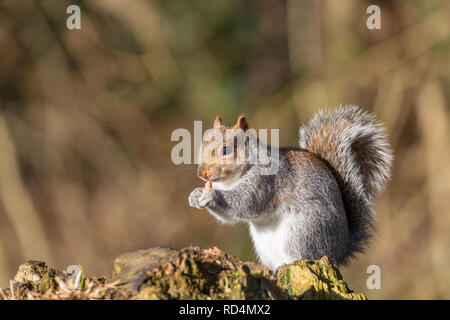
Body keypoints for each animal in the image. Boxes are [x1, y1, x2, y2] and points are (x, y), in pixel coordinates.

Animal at [188, 105, 392, 270]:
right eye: (202, 145)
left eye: (226, 150)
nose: (201, 174)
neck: (230, 181)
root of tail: (340, 251)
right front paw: (195, 195)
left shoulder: (265, 182)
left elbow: (246, 203)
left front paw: (212, 195)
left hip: (303, 232)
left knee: (307, 257)